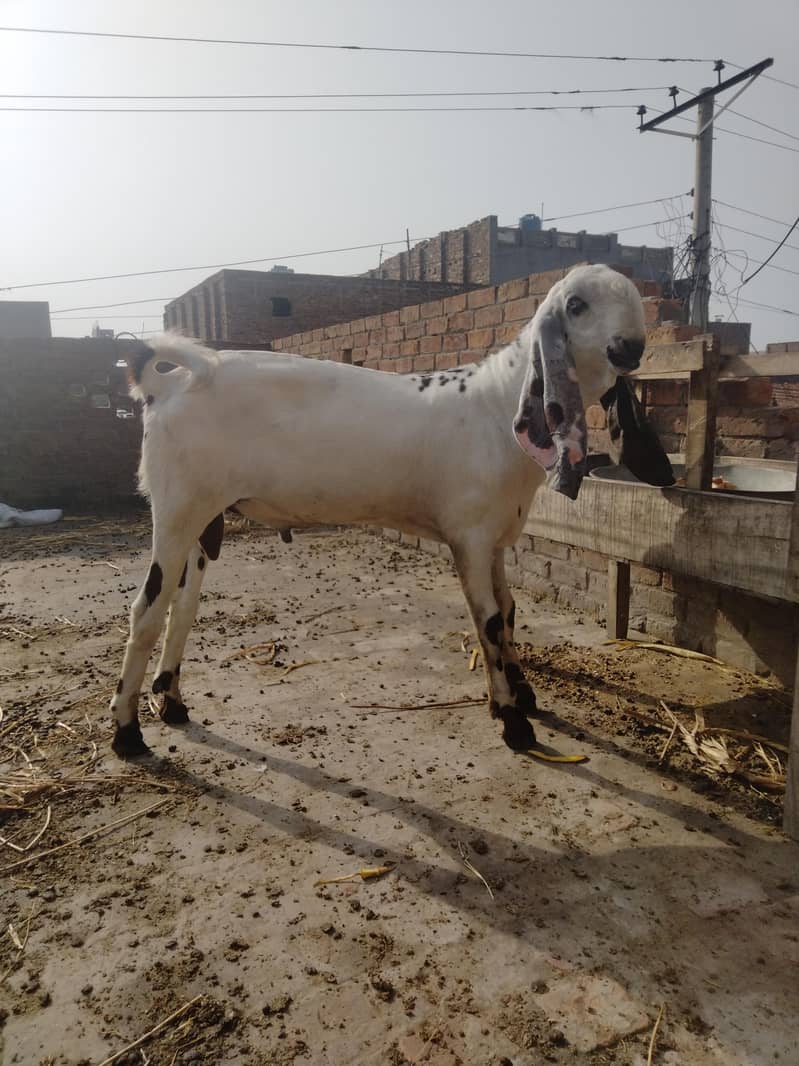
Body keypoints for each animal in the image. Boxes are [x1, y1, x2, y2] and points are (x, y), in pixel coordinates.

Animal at [110, 264, 648, 759]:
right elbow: (491, 622)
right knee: (145, 611)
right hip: (177, 507)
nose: (631, 347)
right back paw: (126, 732)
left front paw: (520, 695)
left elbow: (510, 610)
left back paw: (171, 702)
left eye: (635, 298)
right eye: (576, 304)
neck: (496, 404)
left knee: (181, 606)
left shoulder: (495, 537)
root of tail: (169, 384)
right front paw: (514, 722)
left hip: (202, 516)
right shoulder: (470, 537)